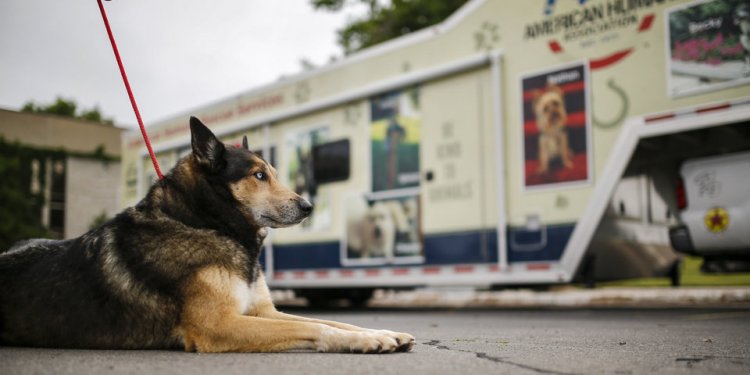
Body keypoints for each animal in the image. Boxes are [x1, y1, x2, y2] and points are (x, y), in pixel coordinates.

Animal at [0, 118, 414, 356]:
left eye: (273, 173)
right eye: (258, 175)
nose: (309, 206)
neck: (206, 223)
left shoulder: (263, 312)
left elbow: (337, 321)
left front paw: (381, 332)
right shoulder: (219, 325)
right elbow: (314, 326)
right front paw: (366, 341)